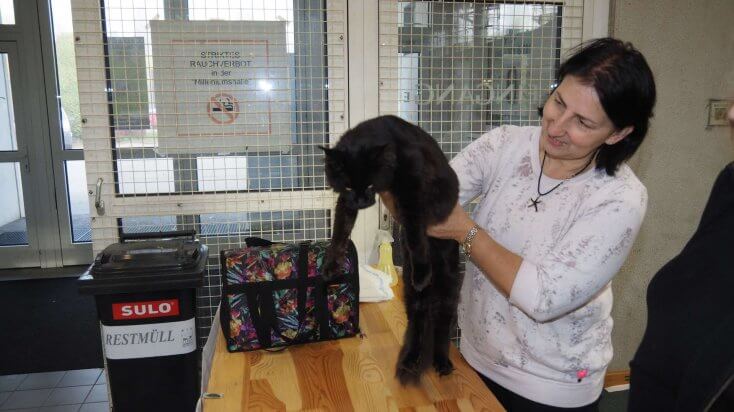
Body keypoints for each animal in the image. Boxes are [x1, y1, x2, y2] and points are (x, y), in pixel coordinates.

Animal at [320, 115, 463, 385]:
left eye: (370, 184)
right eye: (348, 187)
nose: (361, 201)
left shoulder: (412, 195)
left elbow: (416, 237)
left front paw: (421, 272)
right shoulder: (346, 203)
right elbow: (341, 229)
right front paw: (331, 264)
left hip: (448, 285)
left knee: (441, 327)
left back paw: (442, 362)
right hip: (414, 298)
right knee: (418, 322)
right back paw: (410, 361)